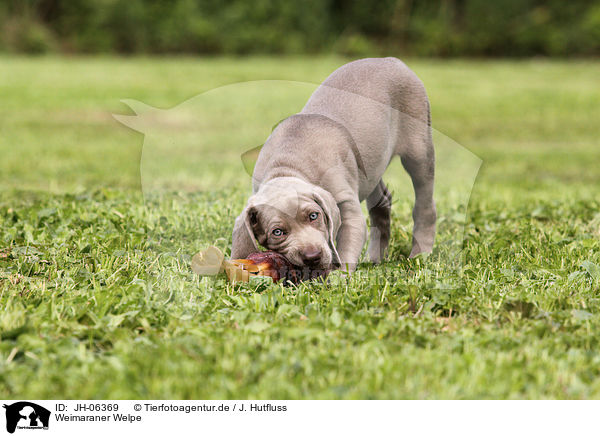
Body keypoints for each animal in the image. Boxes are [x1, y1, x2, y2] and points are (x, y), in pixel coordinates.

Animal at [231, 56, 436, 270]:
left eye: (314, 216)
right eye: (277, 232)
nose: (312, 256)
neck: (287, 166)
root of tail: (390, 59)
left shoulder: (347, 205)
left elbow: (347, 242)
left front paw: (339, 274)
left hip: (418, 149)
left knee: (424, 201)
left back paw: (420, 253)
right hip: (370, 167)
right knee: (382, 199)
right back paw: (374, 257)